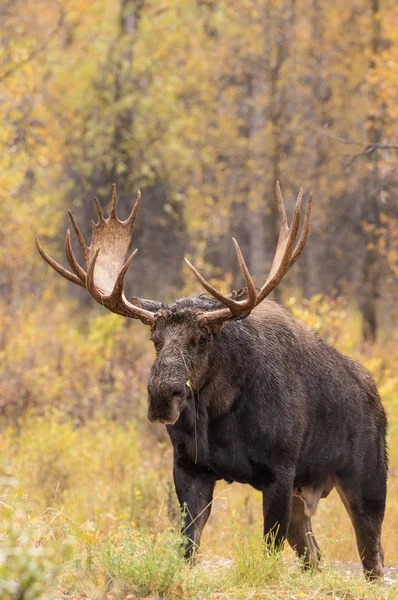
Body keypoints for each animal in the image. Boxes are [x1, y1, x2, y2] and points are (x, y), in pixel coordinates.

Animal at [35, 184, 388, 580]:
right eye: (154, 339)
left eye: (201, 338)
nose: (162, 397)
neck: (219, 415)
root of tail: (376, 397)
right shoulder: (190, 467)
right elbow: (188, 545)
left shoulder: (280, 471)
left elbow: (268, 550)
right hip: (307, 492)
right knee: (313, 554)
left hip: (367, 480)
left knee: (373, 559)